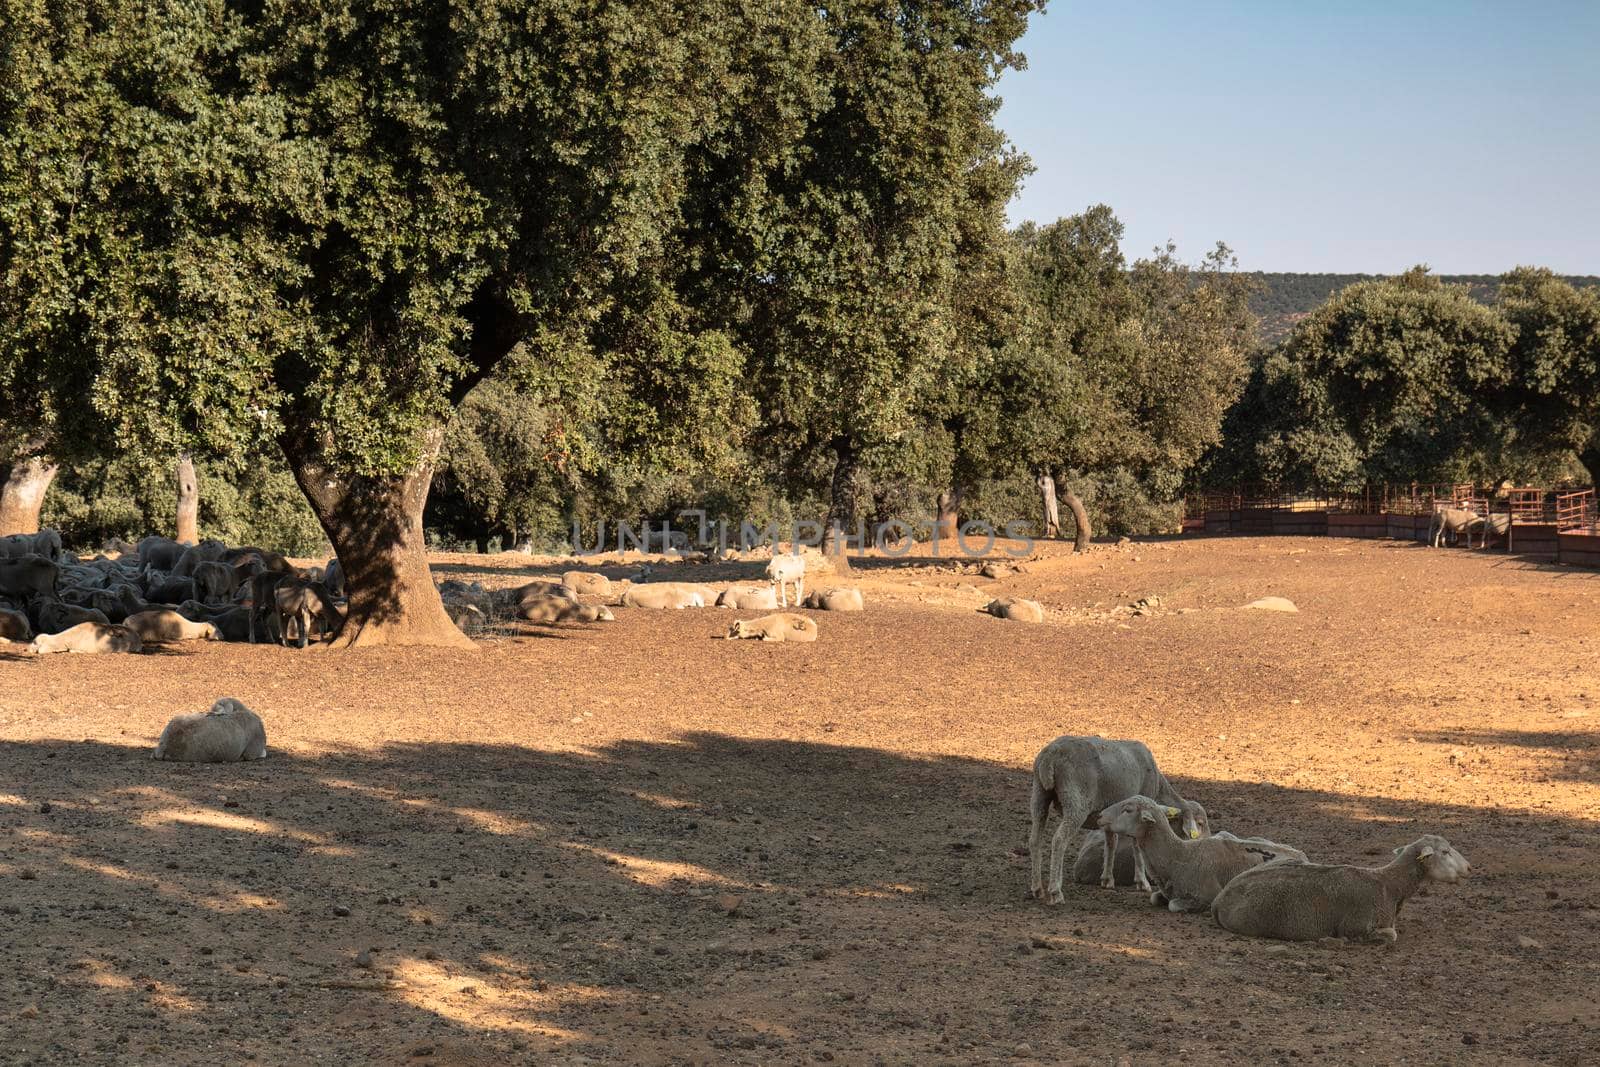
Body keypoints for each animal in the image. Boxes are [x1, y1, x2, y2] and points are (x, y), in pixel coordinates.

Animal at [1100, 796, 1312, 915]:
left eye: (1127, 810)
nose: (1100, 816)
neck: (1179, 856)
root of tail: (1302, 854)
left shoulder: (1207, 894)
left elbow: (1174, 905)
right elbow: (1155, 898)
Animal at [1209, 831, 1472, 940]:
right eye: (1445, 851)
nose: (1469, 868)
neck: (1389, 885)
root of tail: (1220, 899)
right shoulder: (1355, 927)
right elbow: (1391, 935)